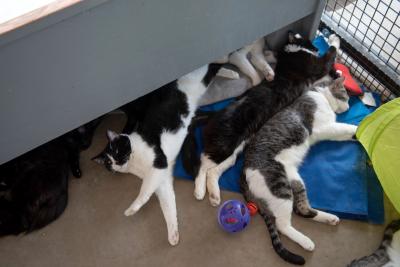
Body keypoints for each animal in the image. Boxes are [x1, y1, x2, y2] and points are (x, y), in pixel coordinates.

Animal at [91, 63, 222, 247]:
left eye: (116, 151)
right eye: (108, 163)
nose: (117, 163)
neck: (134, 162)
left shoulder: (159, 164)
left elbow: (144, 190)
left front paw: (132, 208)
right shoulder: (163, 178)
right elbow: (168, 204)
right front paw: (173, 234)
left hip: (199, 80)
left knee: (213, 66)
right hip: (196, 114)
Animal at [192, 32, 340, 206]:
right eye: (310, 42)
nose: (316, 47)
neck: (291, 51)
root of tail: (214, 114)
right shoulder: (317, 65)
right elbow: (331, 53)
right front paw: (334, 39)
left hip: (234, 150)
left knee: (214, 170)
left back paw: (214, 195)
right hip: (224, 145)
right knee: (203, 163)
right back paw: (199, 190)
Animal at [239, 75, 354, 266]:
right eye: (345, 95)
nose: (349, 107)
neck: (318, 93)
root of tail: (243, 169)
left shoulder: (330, 130)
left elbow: (345, 133)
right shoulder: (324, 126)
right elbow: (347, 127)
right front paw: (363, 127)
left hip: (295, 180)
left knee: (302, 208)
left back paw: (329, 218)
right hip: (280, 186)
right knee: (283, 224)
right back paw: (306, 241)